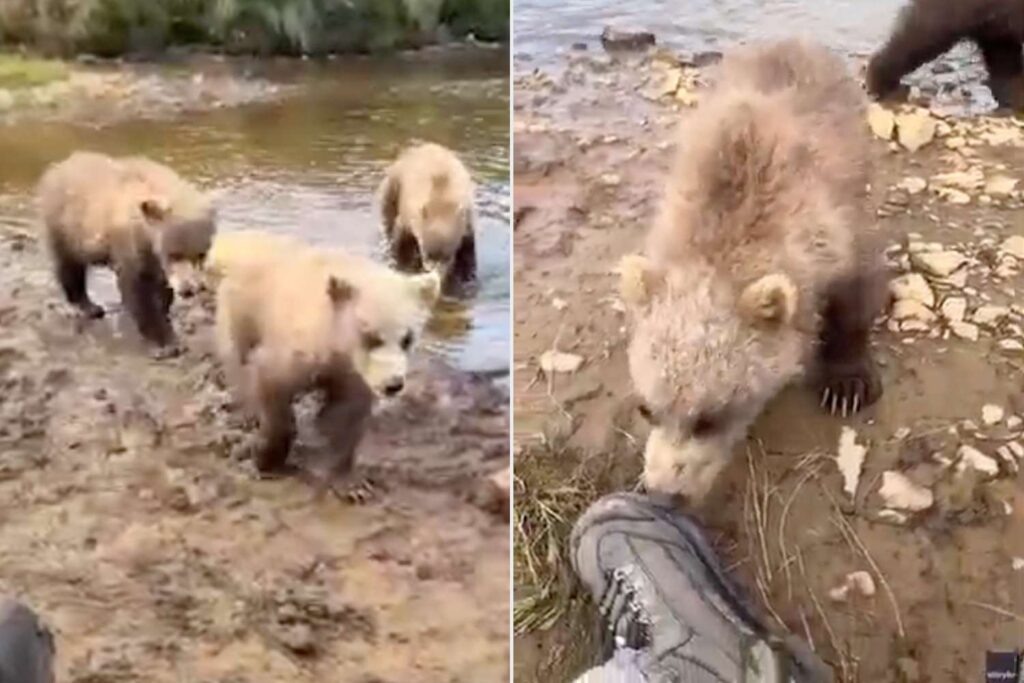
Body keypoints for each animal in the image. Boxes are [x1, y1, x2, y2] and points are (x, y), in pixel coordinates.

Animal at [37, 151, 216, 349]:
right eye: (173, 254)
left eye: (201, 254)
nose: (188, 289)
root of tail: (57, 166)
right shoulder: (130, 247)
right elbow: (137, 290)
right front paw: (164, 341)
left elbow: (161, 289)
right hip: (65, 228)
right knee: (69, 267)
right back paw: (89, 307)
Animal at [213, 230, 440, 482]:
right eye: (370, 336)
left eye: (408, 338)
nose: (393, 384)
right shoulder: (297, 349)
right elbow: (272, 385)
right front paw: (267, 458)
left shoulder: (352, 373)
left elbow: (346, 412)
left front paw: (341, 474)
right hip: (243, 313)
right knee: (238, 359)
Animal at [378, 142, 476, 294]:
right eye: (427, 253)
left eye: (447, 256)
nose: (435, 275)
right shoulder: (409, 217)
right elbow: (400, 242)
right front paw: (403, 265)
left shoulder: (467, 221)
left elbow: (468, 251)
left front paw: (465, 278)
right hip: (392, 187)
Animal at [619, 39, 887, 503]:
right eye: (647, 407)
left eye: (709, 417)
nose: (663, 492)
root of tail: (793, 40)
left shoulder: (831, 226)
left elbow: (854, 292)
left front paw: (848, 384)